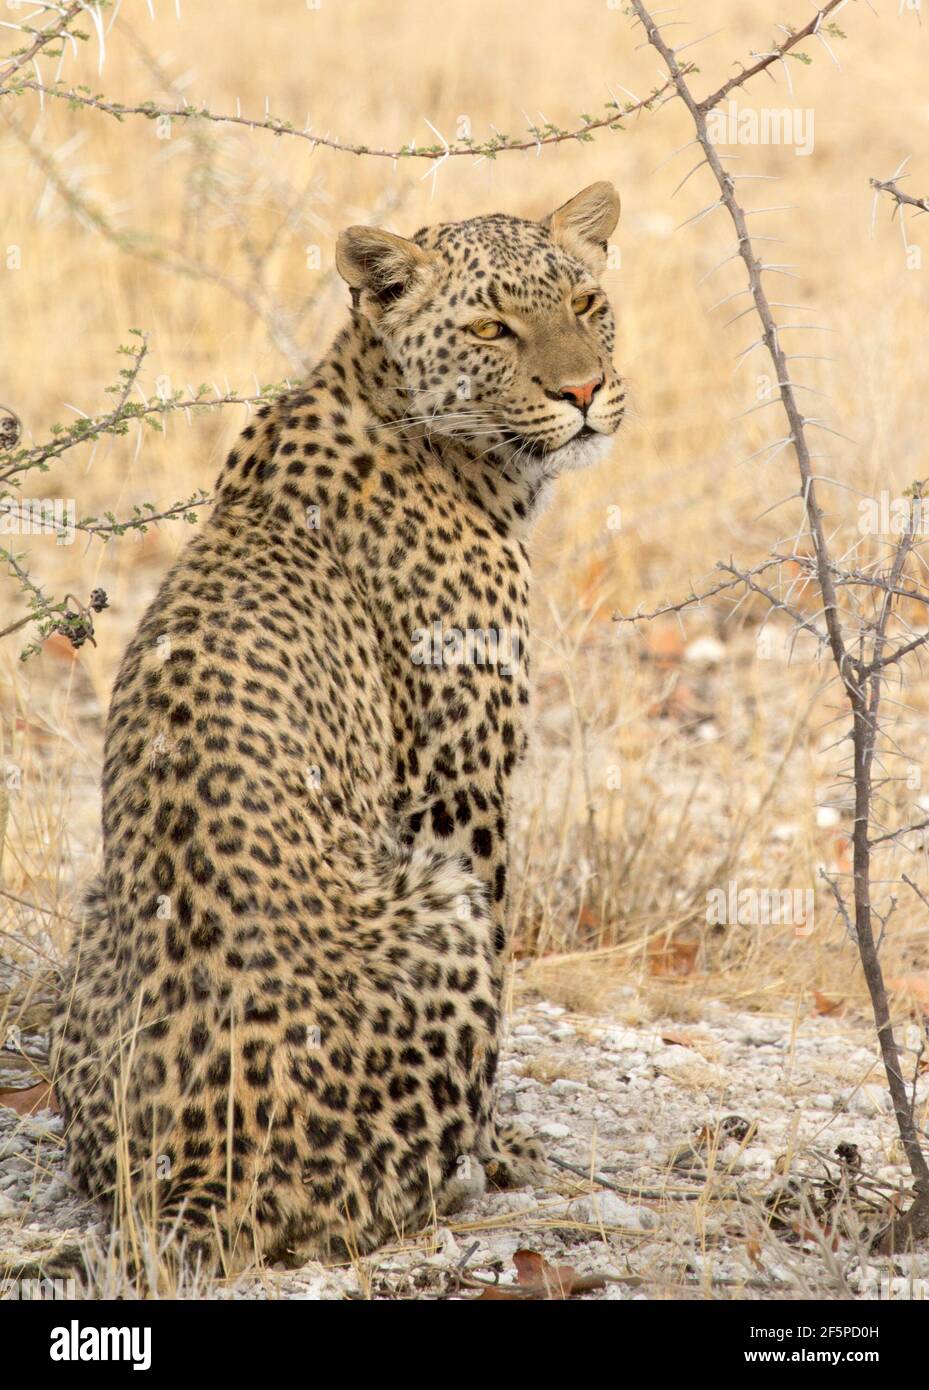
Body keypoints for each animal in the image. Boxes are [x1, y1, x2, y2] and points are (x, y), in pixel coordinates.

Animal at [54, 182, 628, 1273]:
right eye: (491, 327)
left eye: (586, 302)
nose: (584, 391)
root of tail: (195, 1175)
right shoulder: (457, 791)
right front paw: (505, 1144)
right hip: (437, 897)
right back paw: (470, 1176)